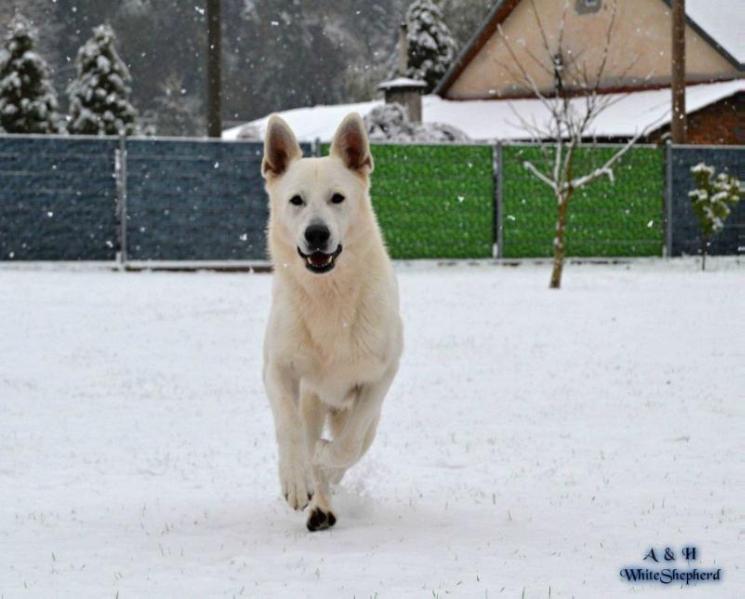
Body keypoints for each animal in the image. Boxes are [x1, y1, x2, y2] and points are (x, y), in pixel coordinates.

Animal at [260, 115, 402, 532]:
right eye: (296, 200)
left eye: (338, 198)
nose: (317, 234)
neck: (329, 298)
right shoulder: (278, 369)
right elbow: (289, 429)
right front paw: (296, 478)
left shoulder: (378, 378)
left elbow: (346, 446)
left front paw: (323, 461)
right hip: (311, 400)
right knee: (305, 431)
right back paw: (316, 503)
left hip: (365, 415)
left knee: (351, 445)